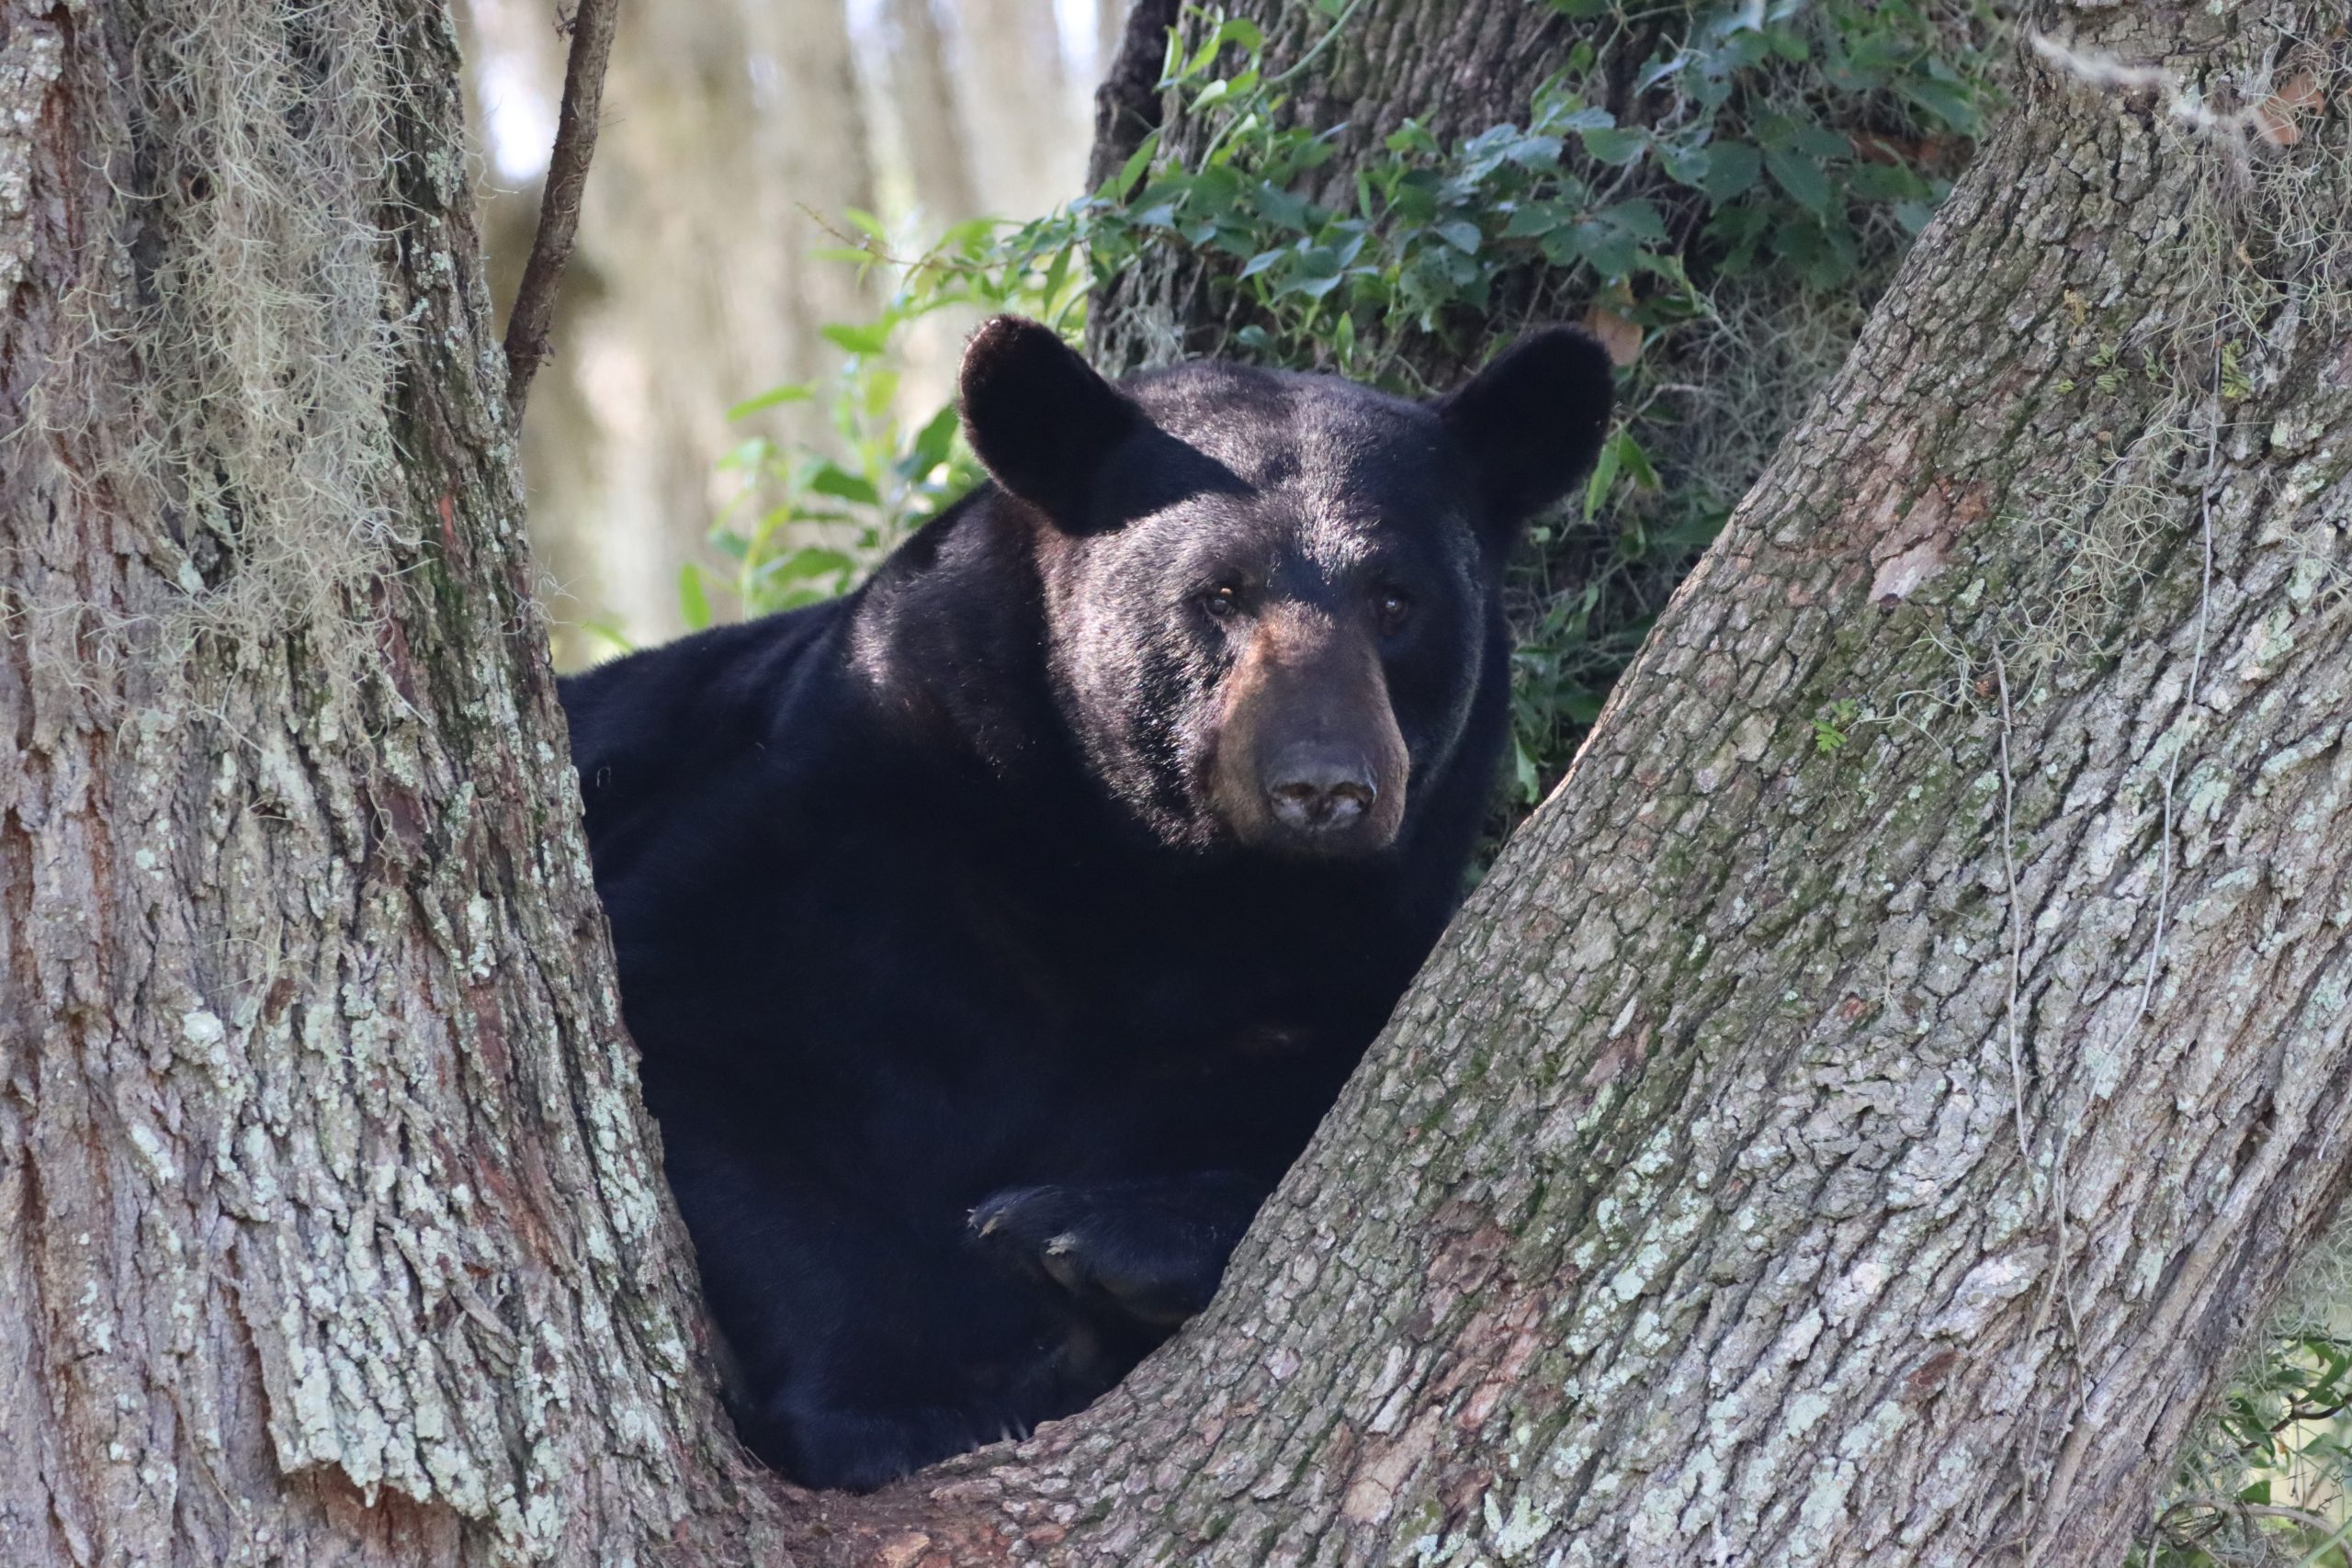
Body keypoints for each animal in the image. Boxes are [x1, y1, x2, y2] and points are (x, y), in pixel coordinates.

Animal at [558, 316, 1613, 1490]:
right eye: (1219, 593)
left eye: (1396, 601)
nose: (1323, 788)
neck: (1147, 888)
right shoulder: (829, 834)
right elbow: (698, 1045)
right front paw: (905, 1405)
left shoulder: (1341, 973)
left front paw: (1085, 1234)